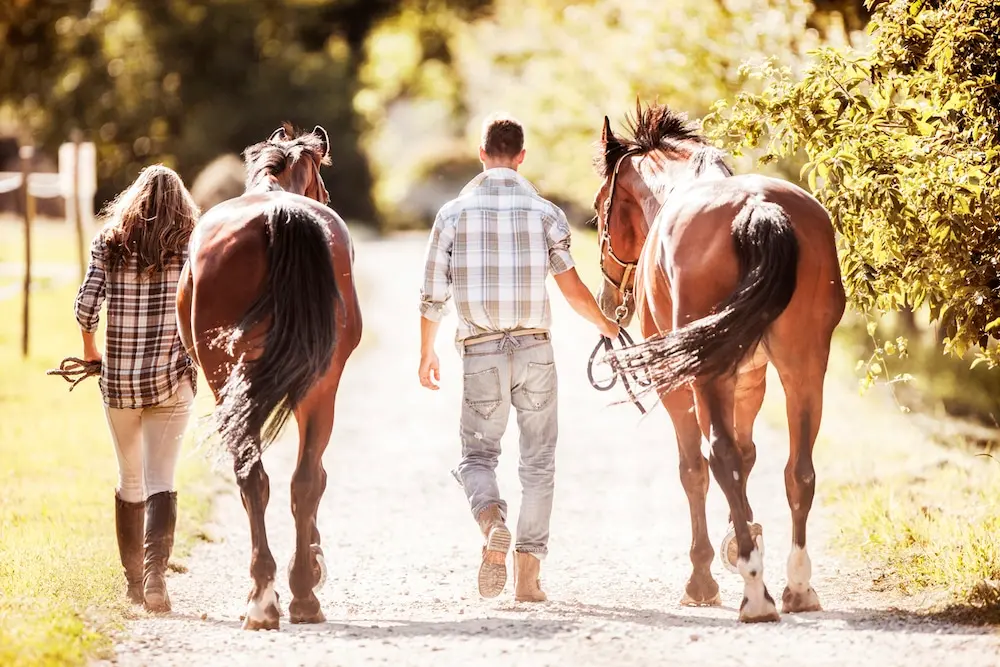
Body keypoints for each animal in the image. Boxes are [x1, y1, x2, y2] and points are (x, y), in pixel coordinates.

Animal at [178, 125, 362, 632]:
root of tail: (277, 215)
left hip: (240, 382)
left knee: (267, 479)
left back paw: (273, 596)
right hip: (315, 385)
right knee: (297, 480)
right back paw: (291, 594)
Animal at [592, 102, 844, 624]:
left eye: (598, 207)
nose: (607, 300)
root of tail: (757, 208)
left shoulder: (677, 385)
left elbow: (695, 470)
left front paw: (705, 576)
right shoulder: (749, 379)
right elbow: (749, 458)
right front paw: (742, 534)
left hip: (706, 375)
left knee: (718, 458)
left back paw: (756, 593)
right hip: (804, 365)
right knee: (799, 469)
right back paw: (797, 586)